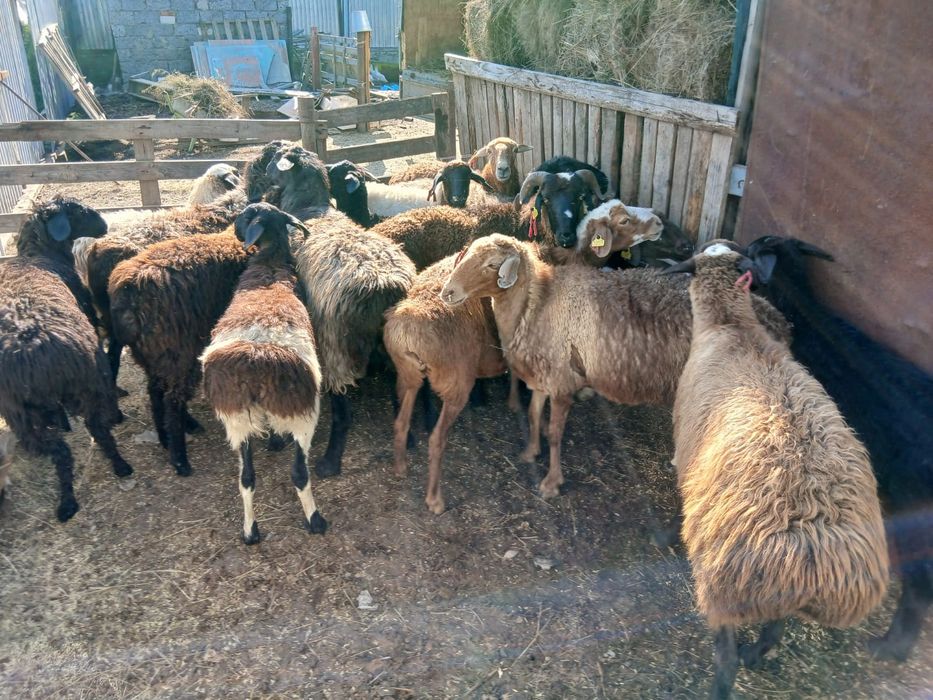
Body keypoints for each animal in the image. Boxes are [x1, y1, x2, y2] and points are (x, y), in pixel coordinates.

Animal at [0, 197, 133, 521]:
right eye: (79, 212)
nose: (104, 225)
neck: (39, 255)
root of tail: (35, 351)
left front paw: (61, 421)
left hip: (22, 415)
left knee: (60, 450)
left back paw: (70, 500)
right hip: (87, 380)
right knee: (96, 429)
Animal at [201, 203, 326, 544]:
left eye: (245, 216)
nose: (233, 231)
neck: (270, 264)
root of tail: (258, 357)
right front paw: (274, 441)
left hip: (239, 416)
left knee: (249, 477)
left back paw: (253, 530)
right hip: (299, 412)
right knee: (293, 473)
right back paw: (311, 521)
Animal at [263, 145, 417, 477]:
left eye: (277, 158)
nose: (264, 170)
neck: (311, 207)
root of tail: (383, 287)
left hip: (336, 346)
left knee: (343, 413)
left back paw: (330, 461)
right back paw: (408, 437)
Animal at [438, 234, 791, 500]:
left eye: (491, 264)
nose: (447, 292)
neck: (537, 305)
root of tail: (776, 318)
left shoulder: (563, 383)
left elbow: (555, 433)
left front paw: (552, 482)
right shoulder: (543, 377)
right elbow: (534, 415)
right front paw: (530, 453)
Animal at [665, 242, 889, 699]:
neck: (732, 326)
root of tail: (813, 554)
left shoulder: (687, 451)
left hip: (724, 585)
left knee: (727, 656)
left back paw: (727, 676)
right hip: (774, 597)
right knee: (774, 632)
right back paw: (757, 654)